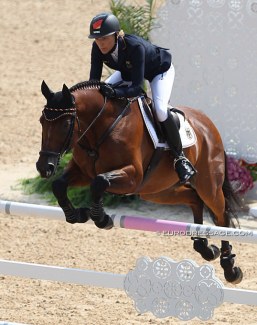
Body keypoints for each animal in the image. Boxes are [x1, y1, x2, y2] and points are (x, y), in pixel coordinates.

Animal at [35, 79, 242, 284]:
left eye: (65, 124)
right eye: (41, 121)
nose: (44, 167)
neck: (100, 128)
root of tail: (206, 122)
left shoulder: (133, 177)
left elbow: (99, 182)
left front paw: (102, 219)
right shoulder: (82, 172)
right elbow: (59, 185)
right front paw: (77, 215)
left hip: (208, 185)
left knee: (221, 216)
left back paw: (229, 268)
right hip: (158, 190)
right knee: (194, 199)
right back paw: (204, 247)